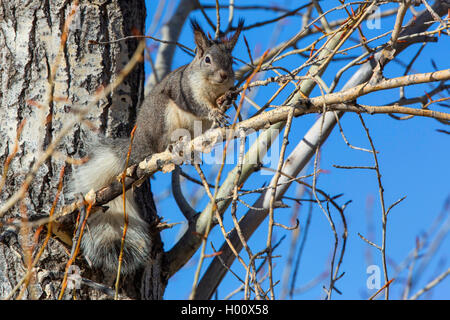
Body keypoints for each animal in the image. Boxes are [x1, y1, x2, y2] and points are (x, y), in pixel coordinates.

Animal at [69, 19, 243, 276]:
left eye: (231, 60)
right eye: (207, 59)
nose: (223, 75)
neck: (212, 88)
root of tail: (140, 142)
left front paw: (228, 100)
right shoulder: (186, 92)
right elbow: (199, 107)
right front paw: (213, 112)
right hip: (164, 117)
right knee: (163, 142)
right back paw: (175, 144)